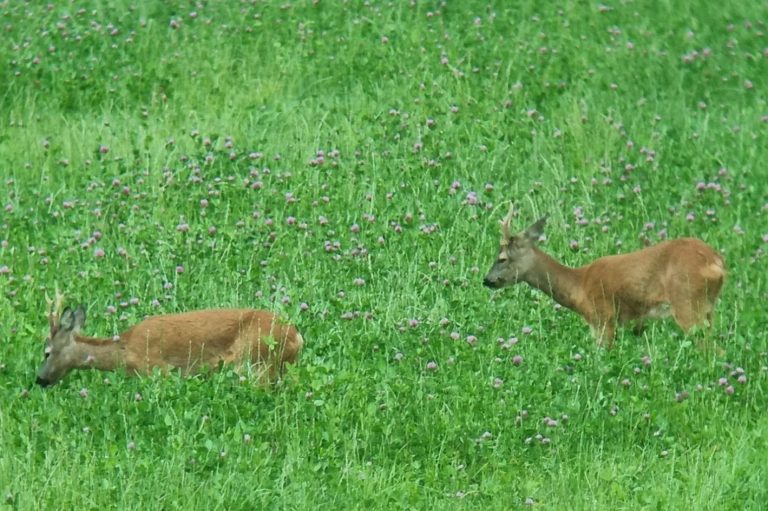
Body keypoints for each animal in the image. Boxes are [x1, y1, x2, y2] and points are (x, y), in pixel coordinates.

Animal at [36, 292, 304, 388]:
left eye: (46, 352)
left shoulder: (157, 369)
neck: (124, 352)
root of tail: (296, 336)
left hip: (254, 362)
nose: (39, 380)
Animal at [484, 207, 728, 348]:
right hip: (708, 308)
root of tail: (716, 263)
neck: (579, 286)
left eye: (502, 258)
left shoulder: (603, 317)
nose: (486, 280)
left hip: (687, 303)